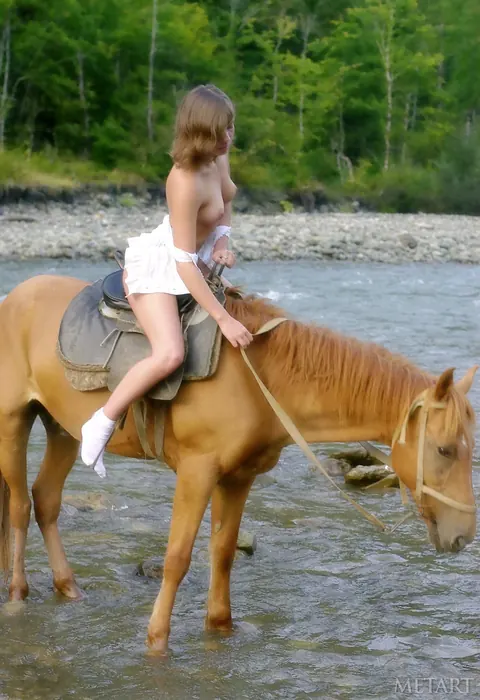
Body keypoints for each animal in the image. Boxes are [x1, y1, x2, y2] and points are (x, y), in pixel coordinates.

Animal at [0, 274, 476, 654]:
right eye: (444, 450)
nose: (463, 537)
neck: (259, 379)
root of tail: (16, 296)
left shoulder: (238, 478)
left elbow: (224, 552)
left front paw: (220, 626)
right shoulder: (197, 472)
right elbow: (177, 558)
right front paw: (156, 641)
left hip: (62, 428)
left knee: (46, 500)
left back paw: (69, 588)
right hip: (15, 420)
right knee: (20, 505)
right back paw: (18, 592)